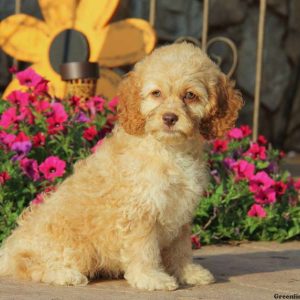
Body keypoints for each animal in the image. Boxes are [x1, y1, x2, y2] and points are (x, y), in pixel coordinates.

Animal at [0, 42, 243, 290]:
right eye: (156, 93)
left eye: (190, 95)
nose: (169, 118)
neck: (168, 149)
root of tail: (8, 251)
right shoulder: (140, 211)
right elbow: (145, 250)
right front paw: (151, 277)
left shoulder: (181, 211)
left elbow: (181, 248)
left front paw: (188, 273)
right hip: (71, 247)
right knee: (28, 265)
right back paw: (64, 275)